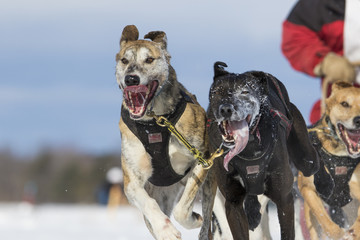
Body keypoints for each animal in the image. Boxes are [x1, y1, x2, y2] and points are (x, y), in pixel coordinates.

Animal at [207, 62, 320, 240]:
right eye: (217, 91)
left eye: (245, 92)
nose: (225, 109)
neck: (248, 148)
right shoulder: (233, 203)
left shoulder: (284, 199)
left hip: (306, 157)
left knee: (312, 160)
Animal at [298, 81, 360, 239]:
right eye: (344, 104)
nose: (358, 120)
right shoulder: (307, 187)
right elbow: (327, 222)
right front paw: (339, 234)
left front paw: (353, 232)